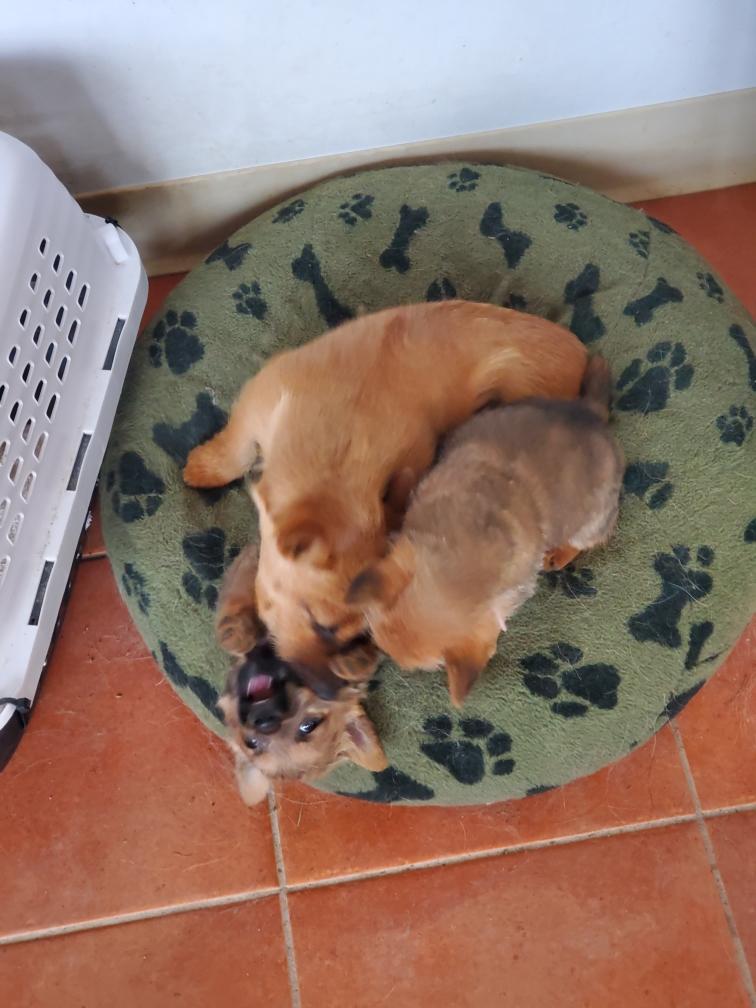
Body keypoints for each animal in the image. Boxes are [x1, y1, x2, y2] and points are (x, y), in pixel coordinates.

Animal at [184, 300, 588, 693]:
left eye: (351, 634)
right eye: (319, 624)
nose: (328, 691)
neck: (338, 443)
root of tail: (583, 355)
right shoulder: (257, 403)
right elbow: (235, 450)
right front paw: (202, 468)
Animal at [347, 355, 624, 707]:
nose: (382, 662)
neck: (469, 547)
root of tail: (591, 413)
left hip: (591, 522)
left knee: (587, 539)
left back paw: (560, 554)